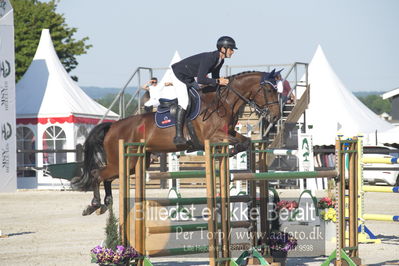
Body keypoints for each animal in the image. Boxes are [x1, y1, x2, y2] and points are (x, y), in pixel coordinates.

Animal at [71, 69, 282, 215]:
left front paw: (230, 153)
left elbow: (245, 141)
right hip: (122, 159)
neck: (223, 103)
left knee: (107, 177)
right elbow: (236, 143)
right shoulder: (210, 137)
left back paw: (105, 203)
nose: (275, 116)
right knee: (97, 174)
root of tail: (114, 126)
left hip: (132, 163)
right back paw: (95, 205)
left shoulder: (229, 133)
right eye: (269, 90)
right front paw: (227, 153)